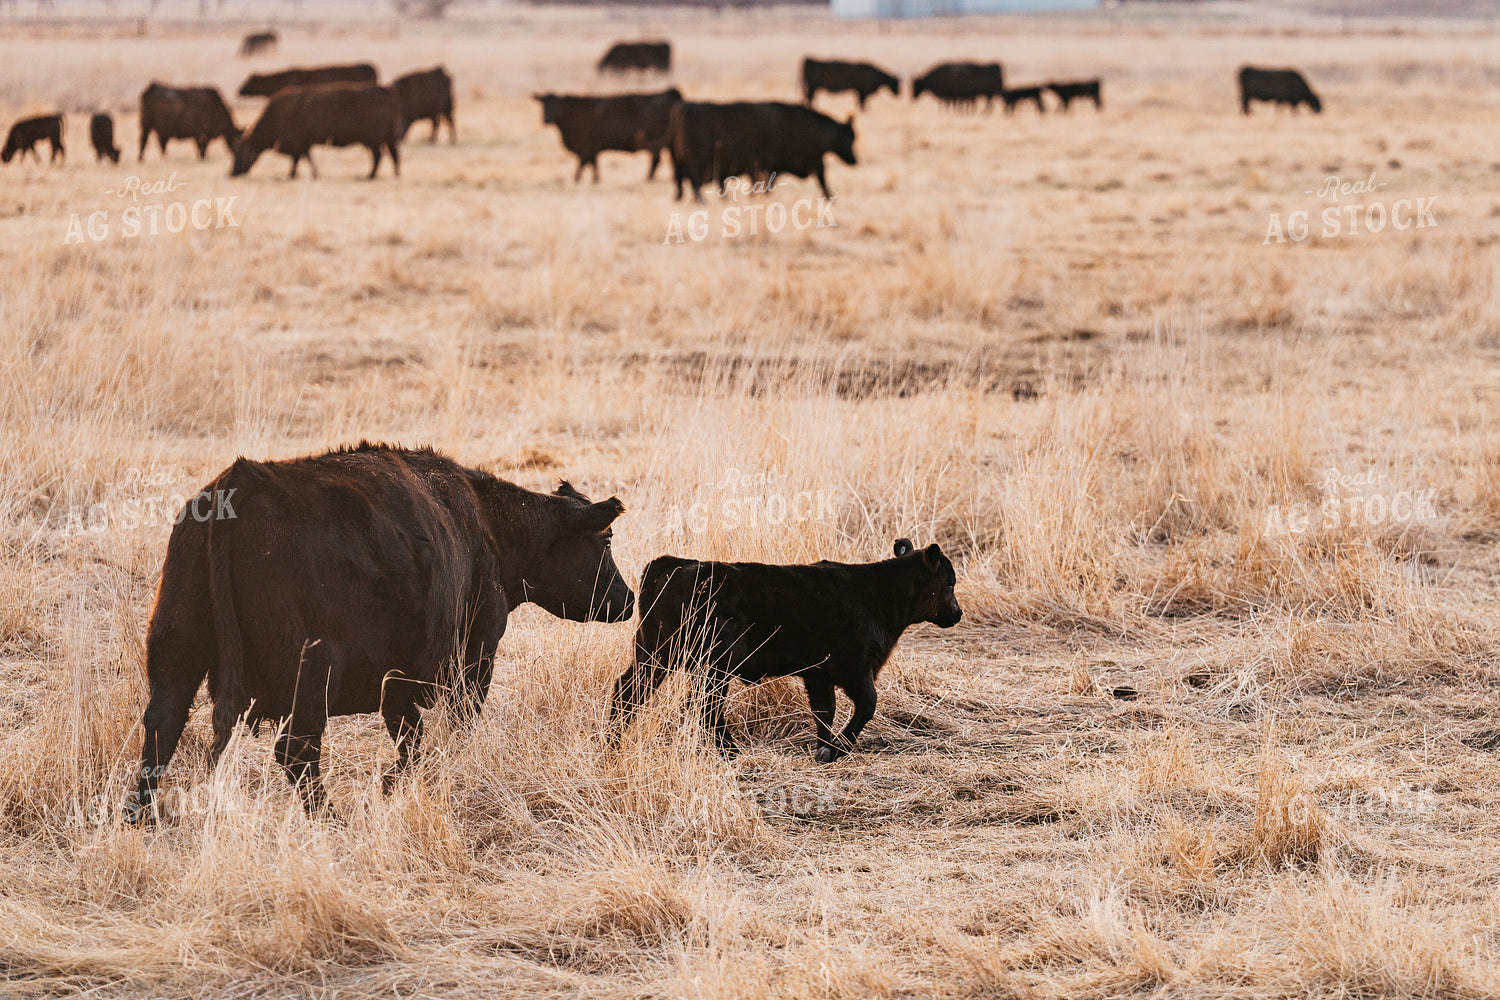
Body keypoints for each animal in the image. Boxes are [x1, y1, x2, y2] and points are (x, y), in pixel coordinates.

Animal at [123, 443, 633, 822]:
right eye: (606, 539)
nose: (628, 600)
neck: (487, 525)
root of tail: (236, 486)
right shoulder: (474, 656)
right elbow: (452, 727)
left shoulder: (398, 680)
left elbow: (409, 736)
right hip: (308, 678)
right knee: (296, 752)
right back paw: (330, 819)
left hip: (176, 653)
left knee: (162, 727)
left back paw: (140, 817)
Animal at [231, 83, 401, 180]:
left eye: (239, 153)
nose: (231, 173)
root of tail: (386, 92)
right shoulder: (303, 145)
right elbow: (303, 159)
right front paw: (305, 173)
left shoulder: (297, 144)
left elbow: (300, 159)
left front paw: (296, 174)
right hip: (385, 139)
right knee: (392, 155)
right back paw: (393, 174)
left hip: (373, 141)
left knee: (379, 156)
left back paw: (370, 176)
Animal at [534, 88, 682, 183]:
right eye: (542, 103)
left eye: (556, 104)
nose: (545, 119)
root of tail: (671, 92)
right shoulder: (591, 148)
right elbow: (592, 163)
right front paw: (594, 179)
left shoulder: (587, 145)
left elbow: (584, 163)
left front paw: (580, 179)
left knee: (656, 160)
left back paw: (648, 178)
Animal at [610, 539, 962, 763]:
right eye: (949, 582)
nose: (957, 613)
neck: (878, 594)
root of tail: (672, 564)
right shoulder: (855, 669)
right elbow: (867, 706)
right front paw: (837, 749)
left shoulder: (818, 674)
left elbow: (824, 710)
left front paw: (824, 749)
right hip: (709, 665)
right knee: (706, 708)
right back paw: (730, 752)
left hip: (656, 654)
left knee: (628, 691)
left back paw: (611, 741)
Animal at [665, 100, 856, 202]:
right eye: (849, 138)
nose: (855, 160)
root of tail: (681, 107)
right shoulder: (813, 161)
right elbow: (822, 181)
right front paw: (830, 198)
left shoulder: (770, 167)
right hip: (695, 162)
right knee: (692, 179)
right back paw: (701, 200)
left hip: (680, 159)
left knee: (681, 178)